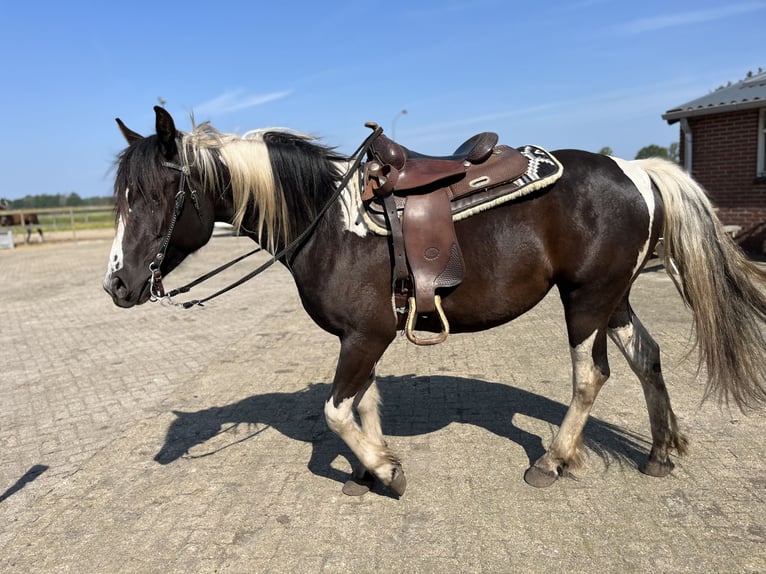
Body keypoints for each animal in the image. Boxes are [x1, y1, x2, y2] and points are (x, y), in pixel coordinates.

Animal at [103, 108, 766, 500]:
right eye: (121, 196)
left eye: (157, 195)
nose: (117, 285)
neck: (329, 221)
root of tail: (635, 171)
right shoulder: (360, 338)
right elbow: (363, 403)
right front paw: (367, 471)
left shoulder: (365, 336)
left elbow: (336, 412)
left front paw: (387, 473)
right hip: (615, 297)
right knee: (647, 358)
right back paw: (660, 453)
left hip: (587, 298)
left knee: (591, 375)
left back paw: (553, 461)